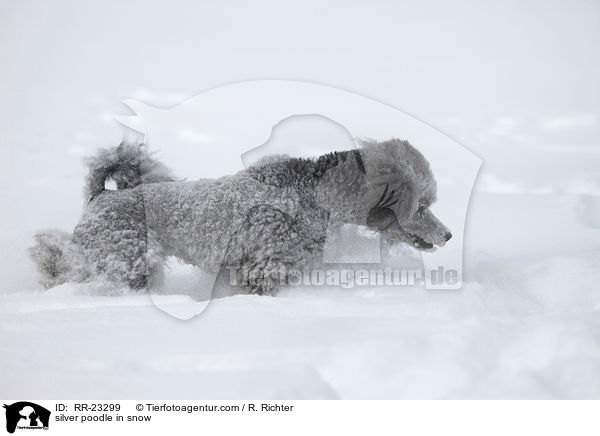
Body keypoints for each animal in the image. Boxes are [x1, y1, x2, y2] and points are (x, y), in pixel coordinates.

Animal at [29, 139, 450, 296]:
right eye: (422, 205)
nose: (447, 235)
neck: (313, 194)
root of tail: (101, 195)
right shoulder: (263, 268)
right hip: (125, 262)